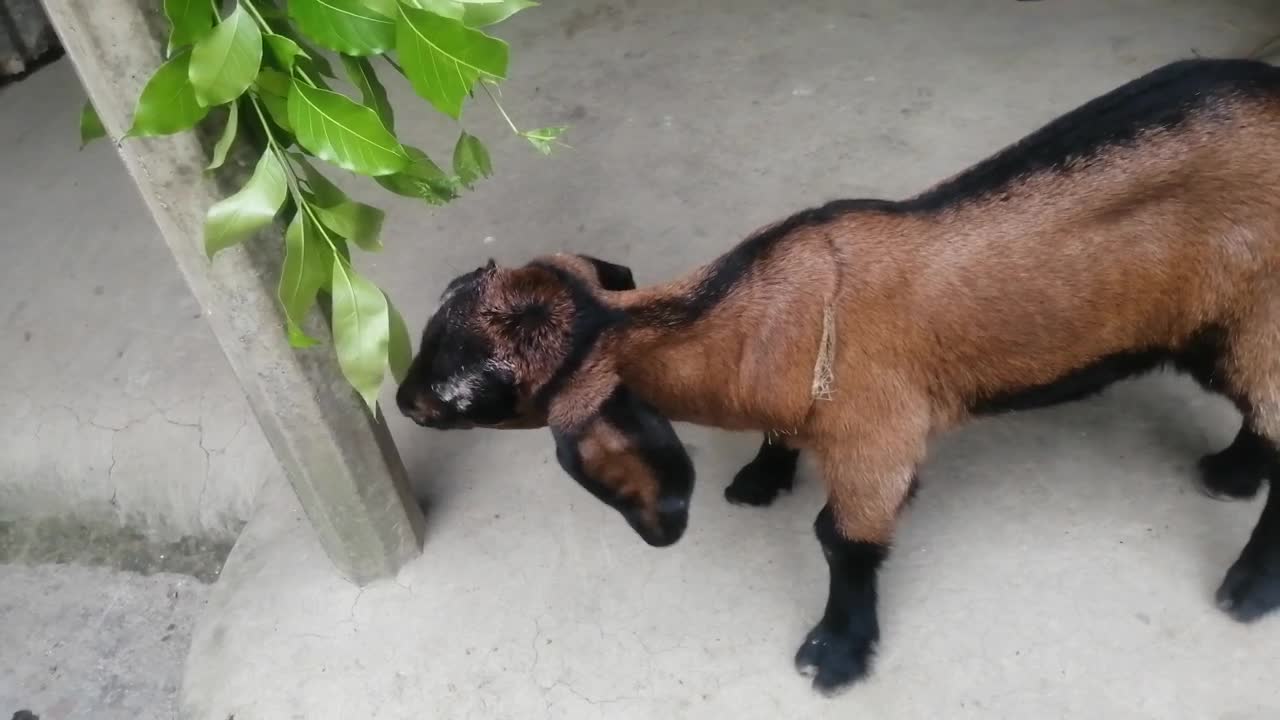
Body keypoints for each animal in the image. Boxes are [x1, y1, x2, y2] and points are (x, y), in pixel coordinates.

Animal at [394, 58, 1280, 691]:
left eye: (469, 396)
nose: (403, 402)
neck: (759, 321)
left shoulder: (876, 435)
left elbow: (842, 538)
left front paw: (836, 653)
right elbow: (779, 439)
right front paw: (760, 477)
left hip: (1260, 320)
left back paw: (1247, 587)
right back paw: (1234, 473)